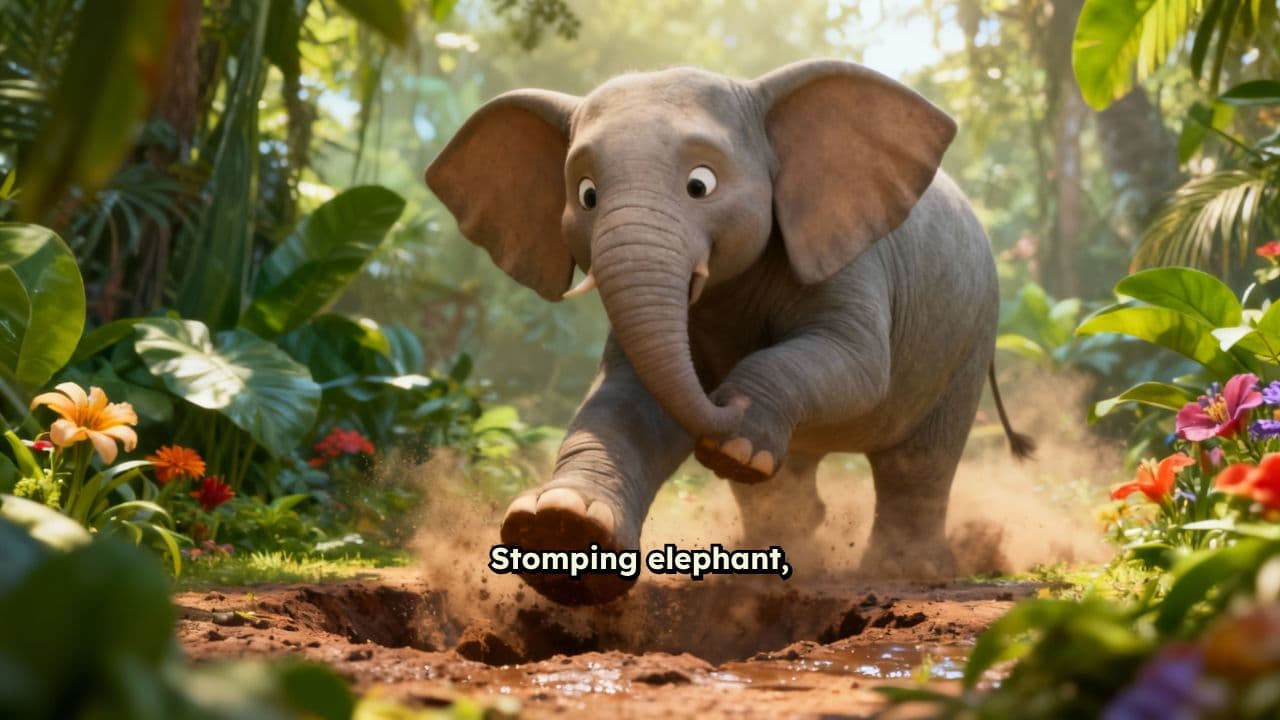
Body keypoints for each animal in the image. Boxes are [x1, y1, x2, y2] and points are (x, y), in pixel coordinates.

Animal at [425, 59, 1033, 606]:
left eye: (700, 184)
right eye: (586, 195)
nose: (720, 397)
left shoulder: (846, 251)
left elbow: (857, 362)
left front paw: (734, 444)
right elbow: (627, 397)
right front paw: (560, 529)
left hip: (972, 331)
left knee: (920, 457)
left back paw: (899, 569)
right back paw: (778, 550)